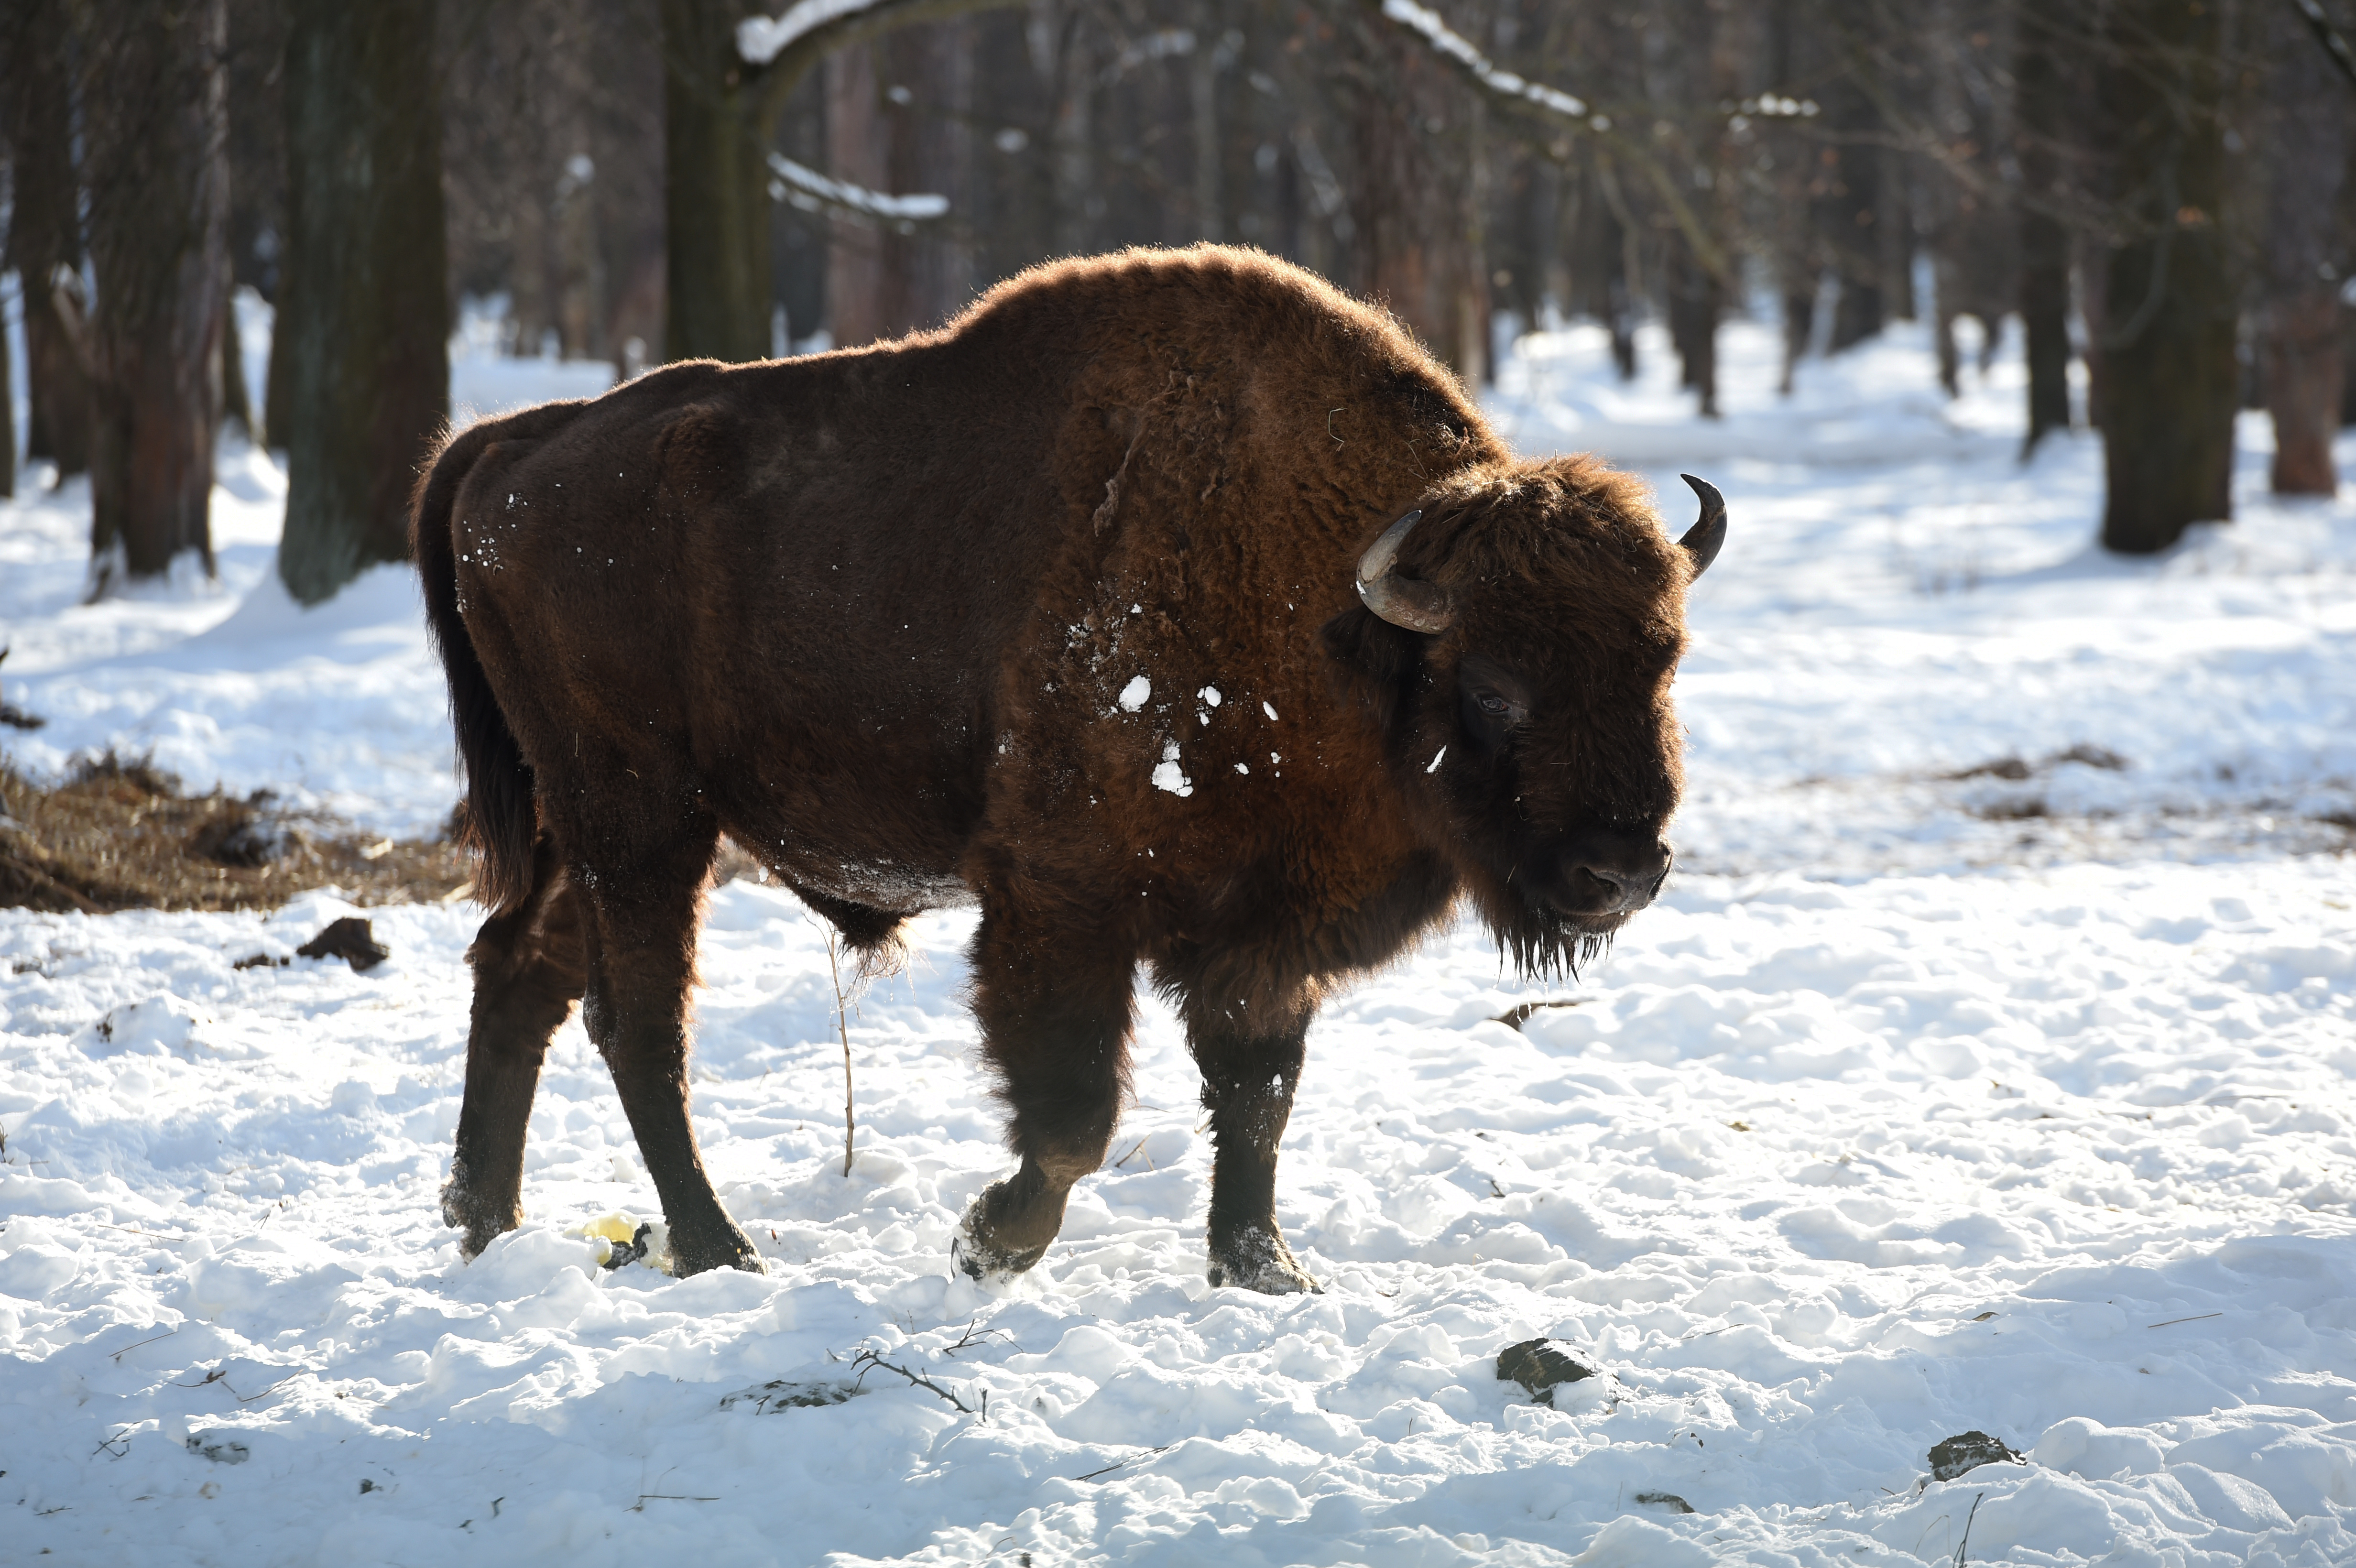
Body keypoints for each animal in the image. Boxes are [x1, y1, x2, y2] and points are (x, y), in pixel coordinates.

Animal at [414, 245, 1724, 1290]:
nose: (1621, 870)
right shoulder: (1063, 904)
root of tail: (512, 443)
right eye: (1493, 683)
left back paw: (486, 1222)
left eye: (1663, 659)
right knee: (637, 1022)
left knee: (520, 974)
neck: (1337, 620)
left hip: (590, 829)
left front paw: (1266, 1270)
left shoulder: (1264, 937)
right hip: (640, 817)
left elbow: (1257, 1099)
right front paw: (988, 1240)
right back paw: (713, 1245)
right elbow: (1075, 1111)